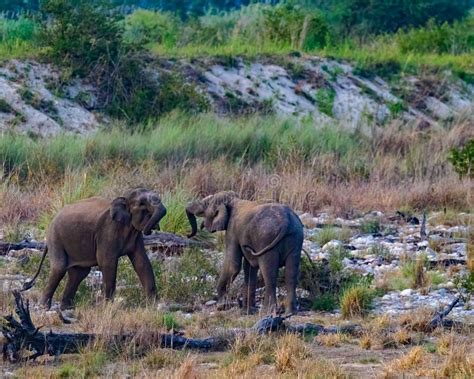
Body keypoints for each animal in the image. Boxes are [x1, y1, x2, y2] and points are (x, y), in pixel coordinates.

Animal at [21, 189, 167, 310]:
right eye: (142, 204)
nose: (153, 229)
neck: (124, 198)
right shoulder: (107, 231)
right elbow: (107, 263)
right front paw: (107, 307)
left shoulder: (136, 236)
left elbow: (142, 262)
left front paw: (153, 306)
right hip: (55, 238)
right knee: (59, 268)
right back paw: (44, 307)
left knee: (79, 274)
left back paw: (67, 308)